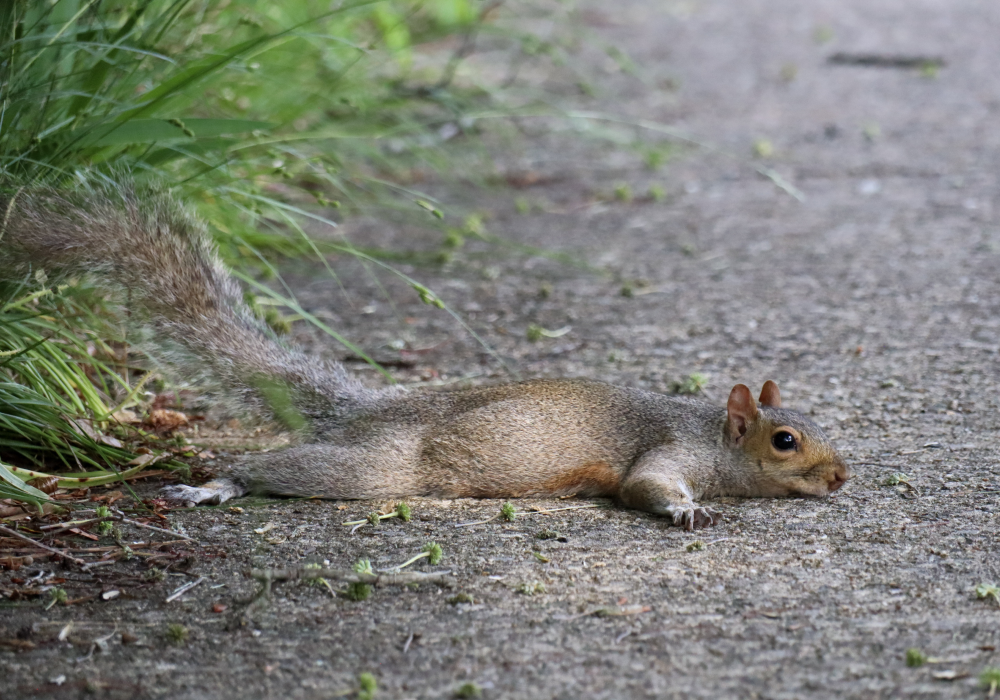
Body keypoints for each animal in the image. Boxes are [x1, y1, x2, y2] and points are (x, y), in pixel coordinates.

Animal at [0, 181, 850, 530]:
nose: (842, 476)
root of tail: (373, 406)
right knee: (273, 466)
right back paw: (215, 486)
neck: (709, 434)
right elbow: (646, 486)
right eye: (785, 439)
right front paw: (684, 508)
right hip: (378, 466)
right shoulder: (665, 449)